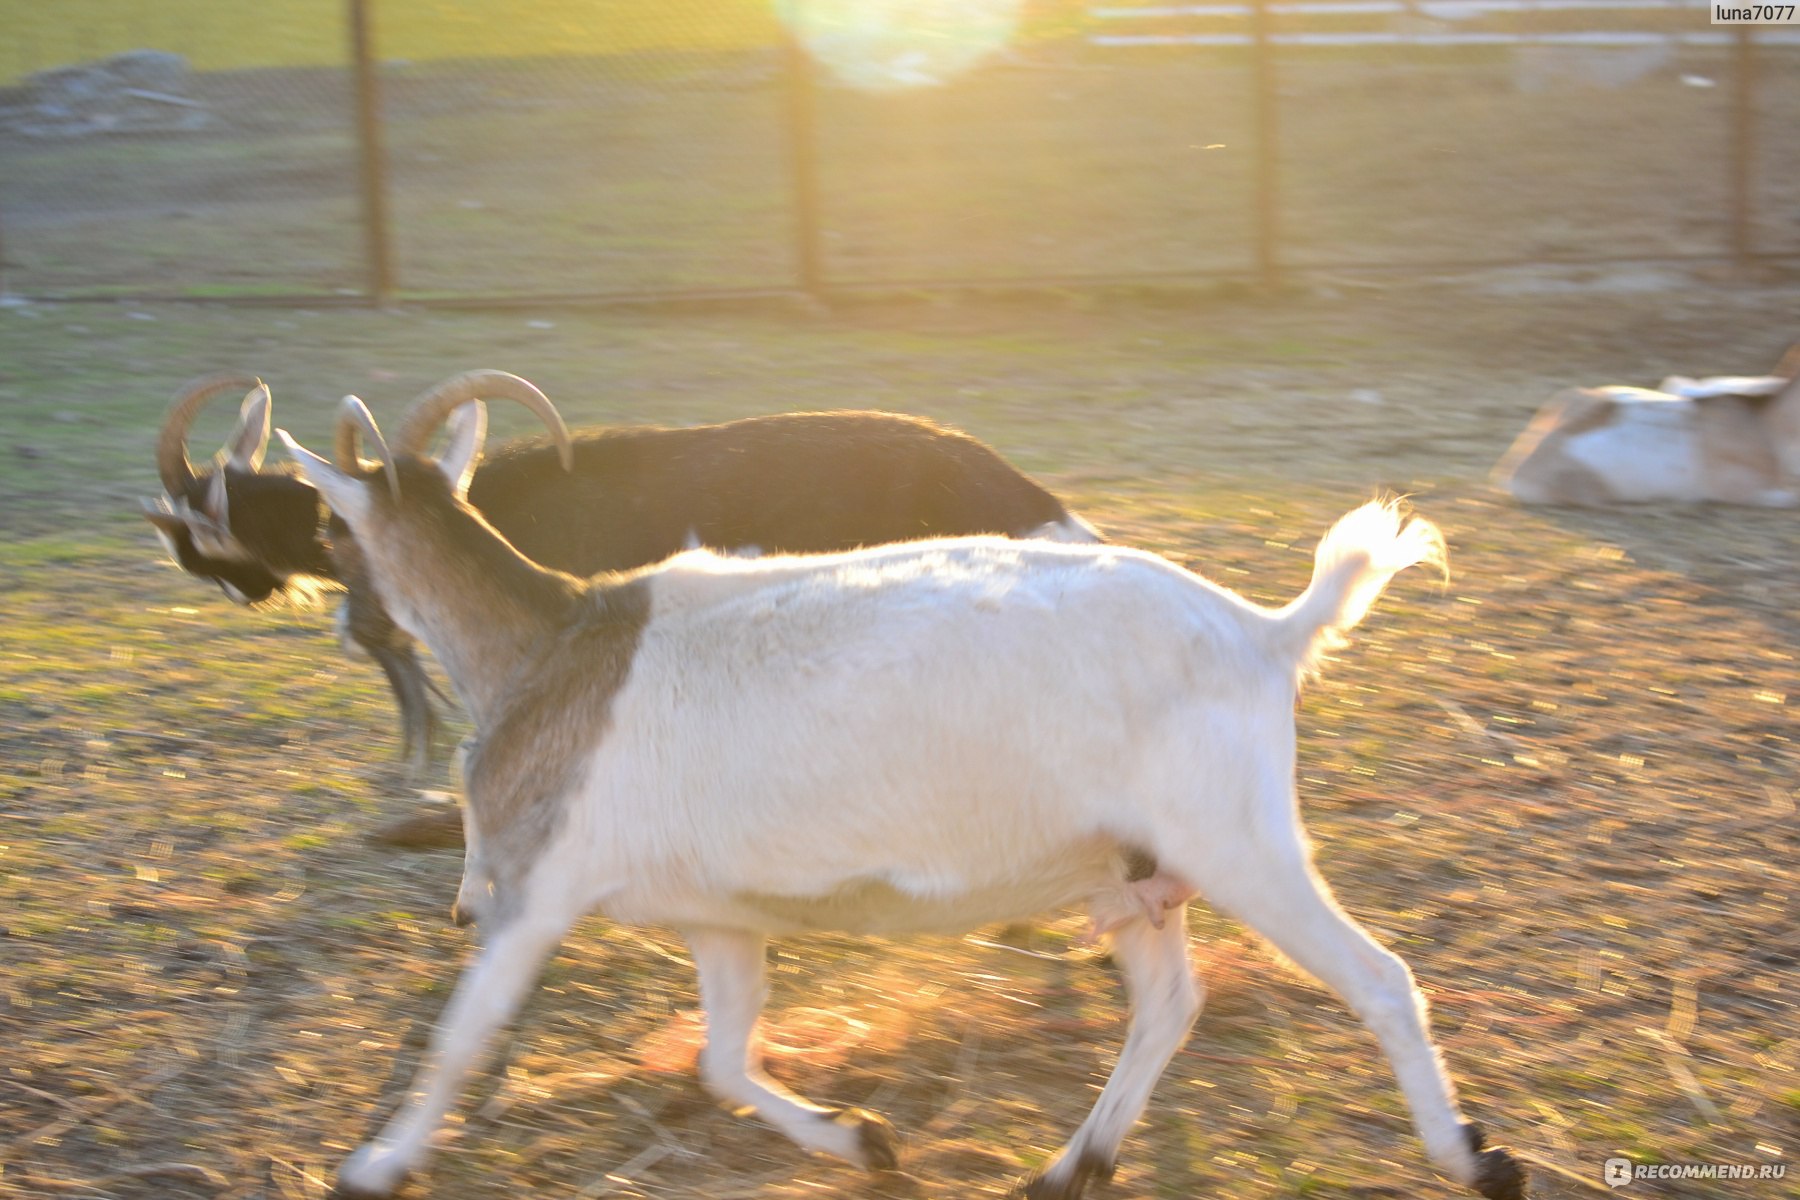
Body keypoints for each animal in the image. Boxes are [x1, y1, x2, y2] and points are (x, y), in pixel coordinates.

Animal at [273, 383, 1526, 1200]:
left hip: (1238, 841)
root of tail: (1263, 632)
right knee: (1170, 1003)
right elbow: (723, 1058)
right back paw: (1070, 1168)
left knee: (1379, 978)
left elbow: (460, 1039)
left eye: (332, 524)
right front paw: (861, 1143)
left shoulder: (539, 893)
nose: (345, 620)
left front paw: (373, 1164)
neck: (548, 644)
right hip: (1128, 870)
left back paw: (1476, 1159)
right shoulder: (719, 919)